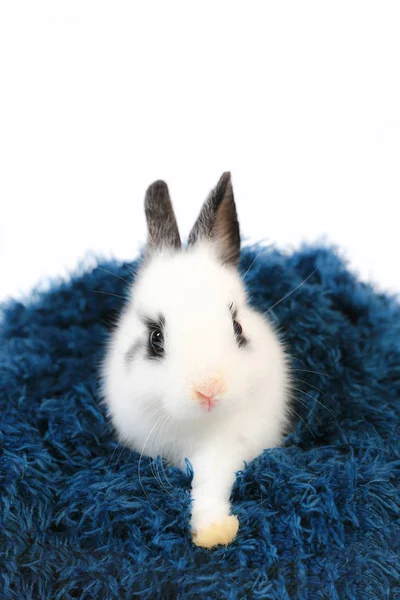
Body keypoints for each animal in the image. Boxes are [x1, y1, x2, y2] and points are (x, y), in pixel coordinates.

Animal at [102, 173, 290, 548]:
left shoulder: (226, 451)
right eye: (155, 338)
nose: (209, 389)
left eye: (237, 327)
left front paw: (214, 530)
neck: (200, 425)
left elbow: (212, 483)